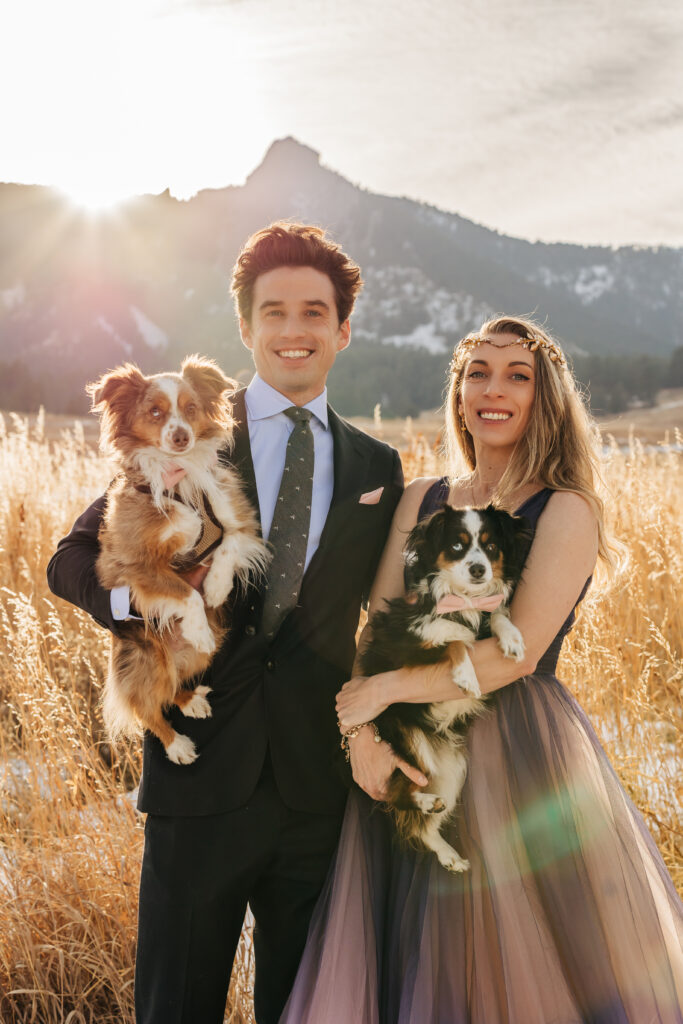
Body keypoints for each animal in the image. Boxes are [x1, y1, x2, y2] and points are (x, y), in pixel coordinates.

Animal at [360, 505, 532, 872]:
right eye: (457, 545)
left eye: (491, 546)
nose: (478, 568)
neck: (464, 601)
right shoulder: (405, 643)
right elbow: (454, 638)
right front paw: (467, 675)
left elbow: (496, 614)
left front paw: (512, 638)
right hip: (412, 744)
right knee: (395, 794)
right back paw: (426, 803)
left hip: (453, 768)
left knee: (421, 825)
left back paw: (448, 853)